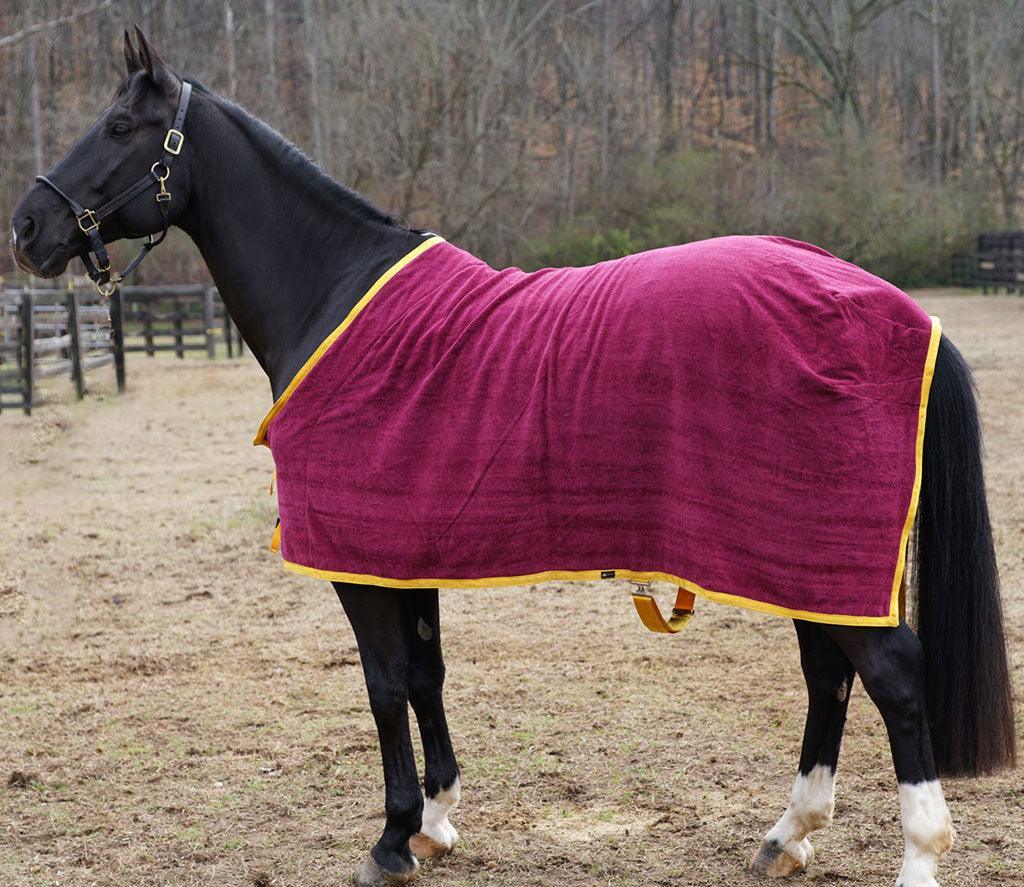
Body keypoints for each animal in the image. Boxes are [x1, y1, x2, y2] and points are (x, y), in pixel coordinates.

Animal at [10, 28, 1015, 887]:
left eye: (120, 127)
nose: (26, 227)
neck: (332, 292)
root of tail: (895, 306)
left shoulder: (358, 563)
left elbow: (383, 687)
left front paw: (391, 838)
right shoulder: (402, 553)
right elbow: (425, 676)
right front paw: (436, 822)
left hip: (822, 551)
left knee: (893, 679)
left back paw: (918, 855)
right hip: (804, 556)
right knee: (829, 676)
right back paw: (789, 833)